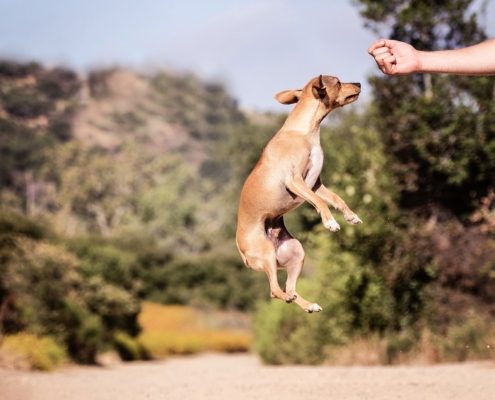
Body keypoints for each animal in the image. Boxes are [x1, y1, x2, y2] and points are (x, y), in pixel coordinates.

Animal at [236, 74, 364, 312]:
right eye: (338, 82)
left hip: (295, 253)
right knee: (275, 291)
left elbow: (336, 199)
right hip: (266, 254)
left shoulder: (315, 184)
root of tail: (241, 250)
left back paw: (308, 305)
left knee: (290, 288)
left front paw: (351, 216)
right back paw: (288, 298)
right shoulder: (296, 181)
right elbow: (320, 203)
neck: (304, 132)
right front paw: (331, 223)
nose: (359, 84)